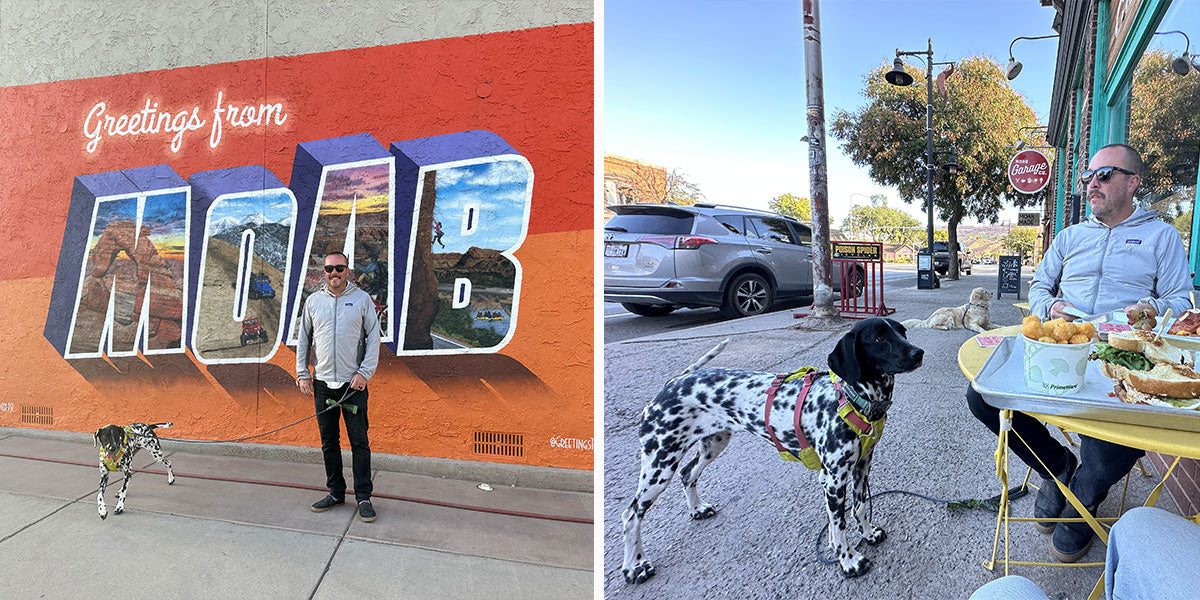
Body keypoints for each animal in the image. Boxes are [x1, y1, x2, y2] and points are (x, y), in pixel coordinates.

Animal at [624, 319, 921, 580]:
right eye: (879, 339)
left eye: (902, 331)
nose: (918, 353)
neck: (851, 400)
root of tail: (673, 382)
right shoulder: (834, 480)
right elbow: (839, 526)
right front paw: (848, 560)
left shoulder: (861, 465)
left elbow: (859, 508)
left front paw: (868, 534)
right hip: (659, 465)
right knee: (631, 514)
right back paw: (635, 566)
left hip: (713, 444)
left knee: (687, 474)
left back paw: (697, 509)